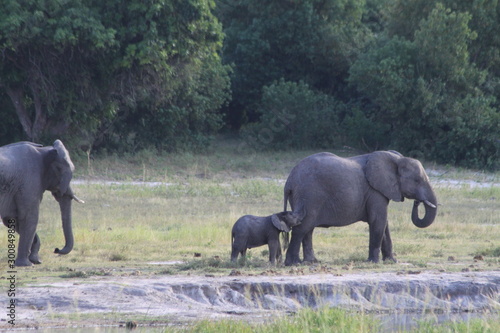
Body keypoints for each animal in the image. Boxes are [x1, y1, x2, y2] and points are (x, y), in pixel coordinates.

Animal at [284, 150, 440, 264]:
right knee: (302, 227)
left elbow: (384, 224)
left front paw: (392, 261)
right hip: (309, 195)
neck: (396, 159)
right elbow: (378, 221)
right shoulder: (375, 191)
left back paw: (312, 262)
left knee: (308, 229)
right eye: (417, 180)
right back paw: (294, 263)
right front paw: (374, 262)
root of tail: (289, 180)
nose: (418, 202)